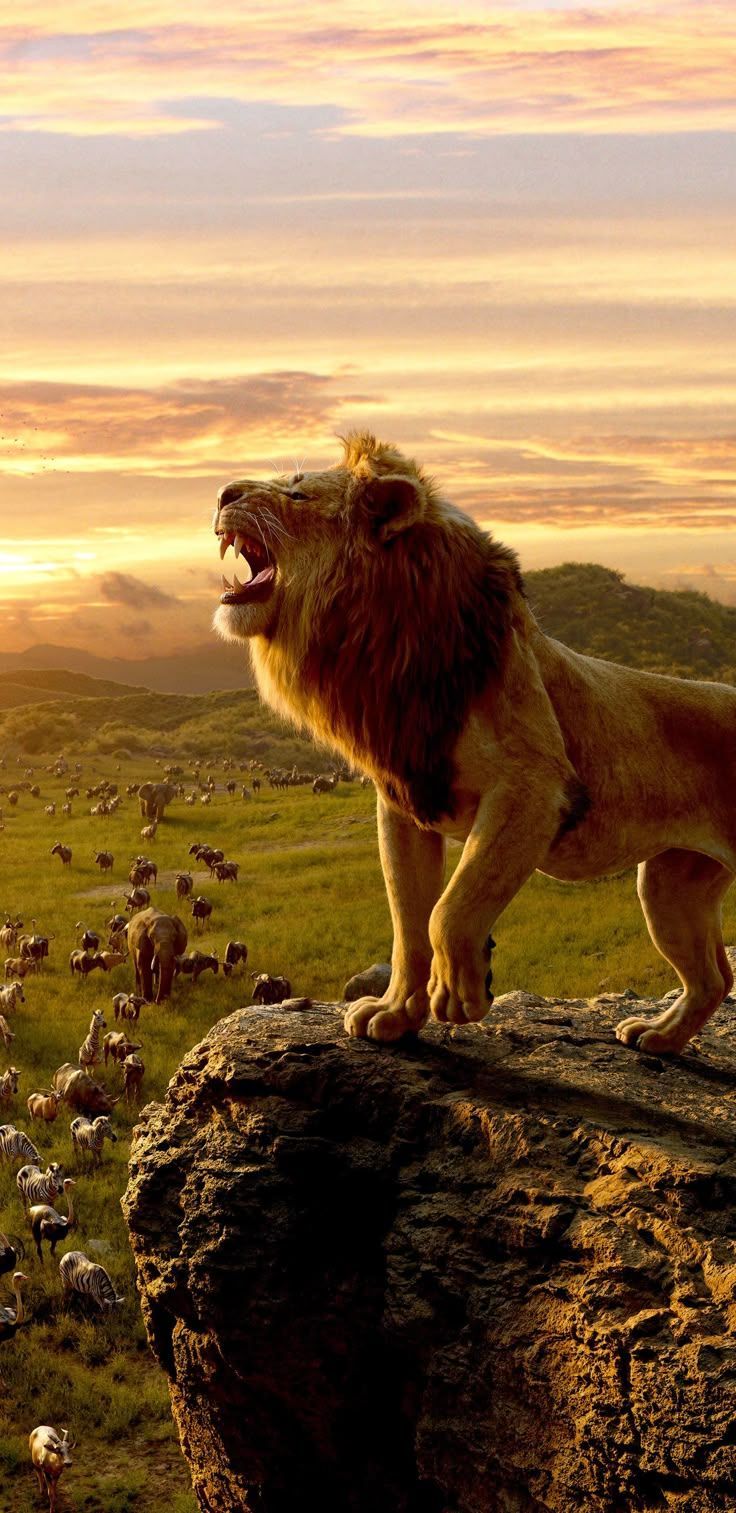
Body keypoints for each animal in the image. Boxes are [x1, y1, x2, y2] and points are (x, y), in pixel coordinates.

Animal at [214, 431, 736, 1056]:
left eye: (296, 492)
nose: (222, 493)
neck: (383, 645)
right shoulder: (403, 801)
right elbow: (408, 922)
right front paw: (395, 1015)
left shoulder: (533, 788)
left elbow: (450, 909)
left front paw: (461, 993)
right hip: (669, 886)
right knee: (714, 976)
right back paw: (658, 1035)